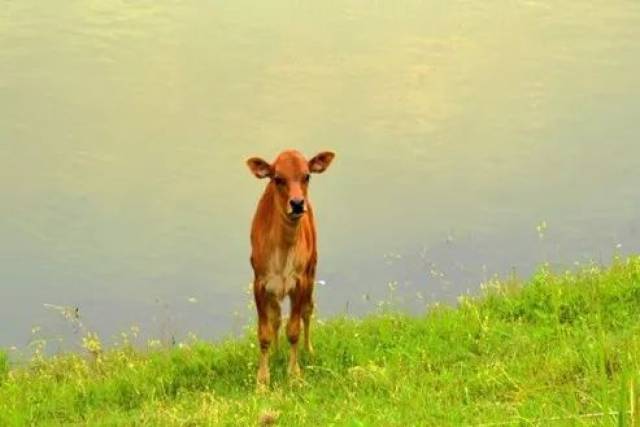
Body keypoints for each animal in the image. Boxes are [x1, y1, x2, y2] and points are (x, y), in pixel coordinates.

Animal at [245, 149, 336, 386]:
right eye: (278, 178)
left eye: (307, 176)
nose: (296, 203)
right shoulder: (260, 282)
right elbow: (265, 332)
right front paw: (262, 380)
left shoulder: (300, 280)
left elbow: (294, 329)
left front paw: (294, 374)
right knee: (277, 317)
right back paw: (277, 354)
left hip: (312, 270)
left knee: (307, 310)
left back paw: (308, 350)